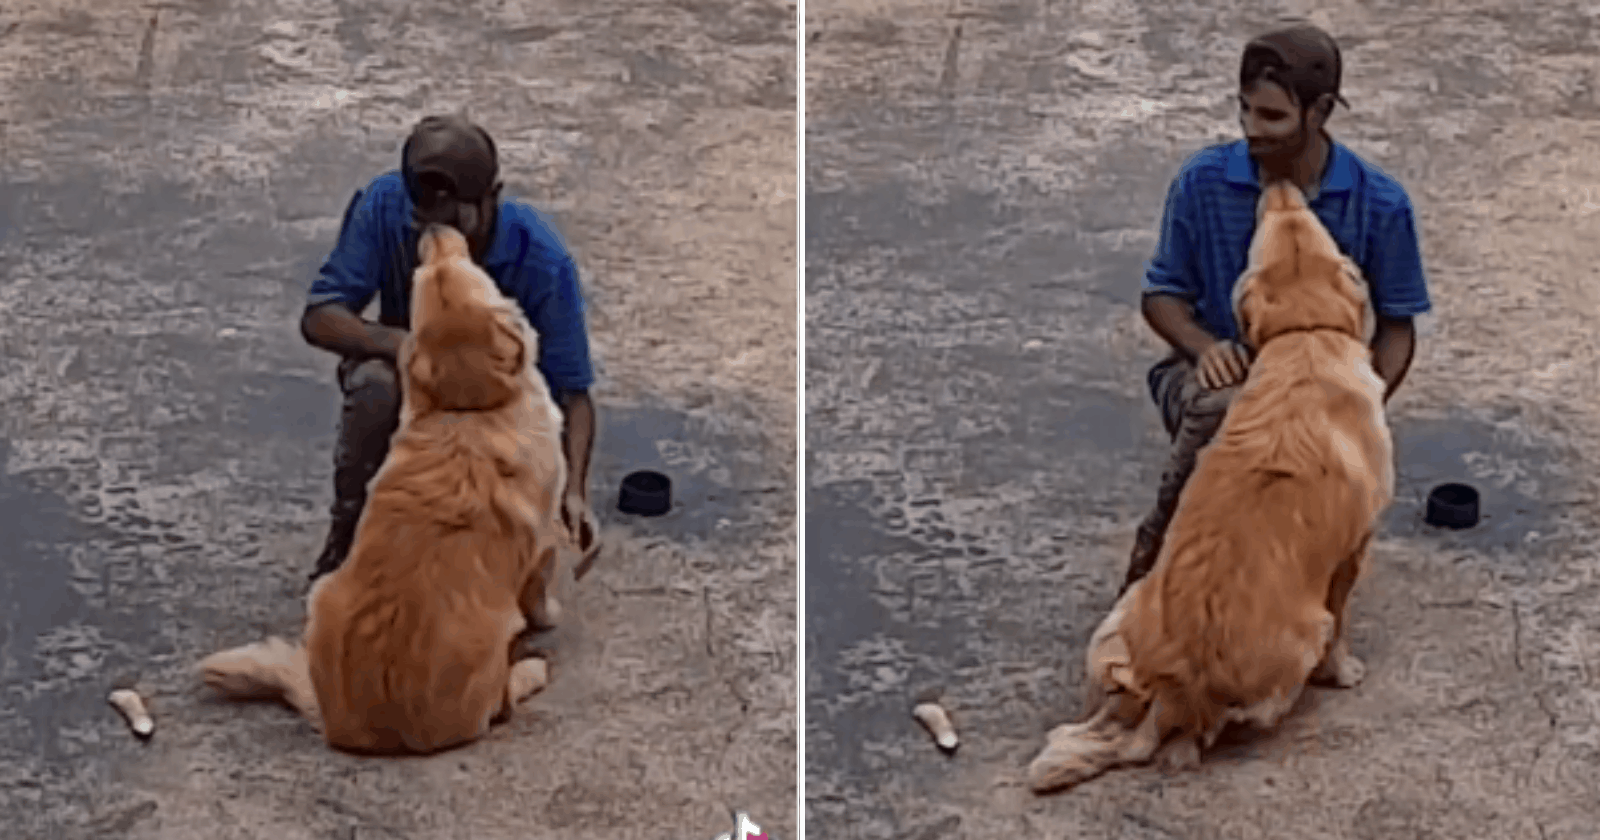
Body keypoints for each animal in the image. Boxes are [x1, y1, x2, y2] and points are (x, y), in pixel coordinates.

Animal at [197, 224, 576, 752]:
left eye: (434, 274)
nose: (435, 228)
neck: (467, 411)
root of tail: (361, 725)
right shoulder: (543, 542)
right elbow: (541, 588)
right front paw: (551, 616)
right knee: (503, 700)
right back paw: (532, 668)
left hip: (323, 596)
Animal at [1030, 180, 1395, 790]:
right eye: (1273, 226)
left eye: (1300, 220)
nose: (1280, 185)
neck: (1305, 335)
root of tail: (1174, 688)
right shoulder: (1353, 551)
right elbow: (1343, 618)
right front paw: (1345, 671)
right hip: (1302, 638)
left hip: (1118, 622)